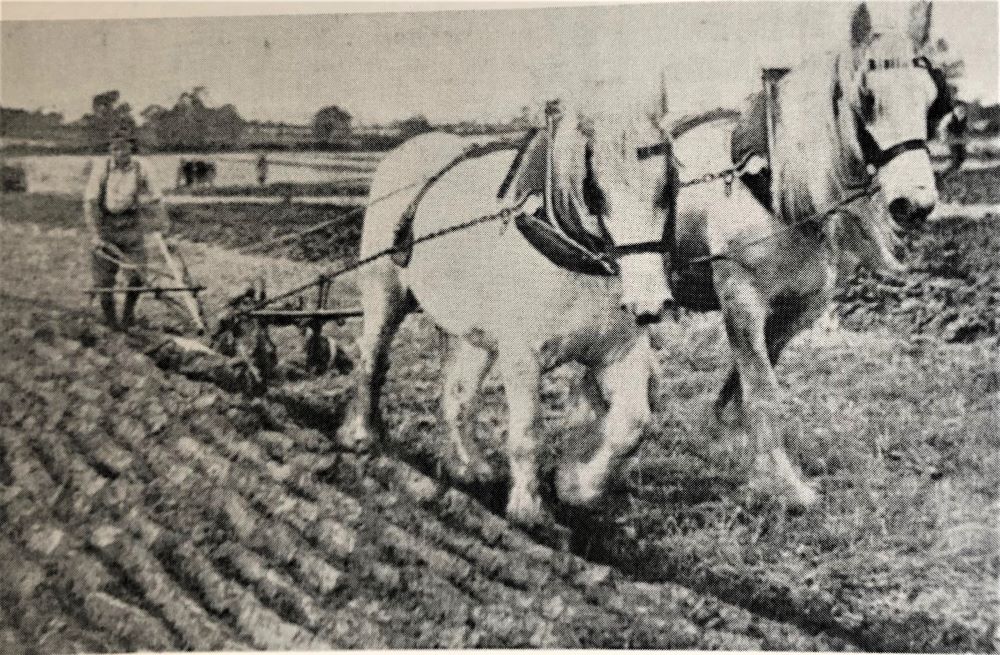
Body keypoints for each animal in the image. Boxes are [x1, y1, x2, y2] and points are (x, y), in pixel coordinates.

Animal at [348, 97, 676, 524]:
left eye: (667, 189)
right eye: (596, 191)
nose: (650, 302)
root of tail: (404, 149)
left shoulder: (619, 351)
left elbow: (632, 424)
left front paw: (576, 485)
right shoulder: (522, 356)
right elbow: (528, 430)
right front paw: (528, 510)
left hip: (471, 332)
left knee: (457, 395)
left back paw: (469, 467)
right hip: (384, 295)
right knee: (372, 358)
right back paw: (361, 435)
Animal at [676, 0, 940, 508]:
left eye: (930, 98)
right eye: (866, 99)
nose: (914, 204)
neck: (772, 186)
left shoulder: (797, 307)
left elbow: (747, 386)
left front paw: (733, 445)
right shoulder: (740, 301)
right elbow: (763, 390)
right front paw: (785, 486)